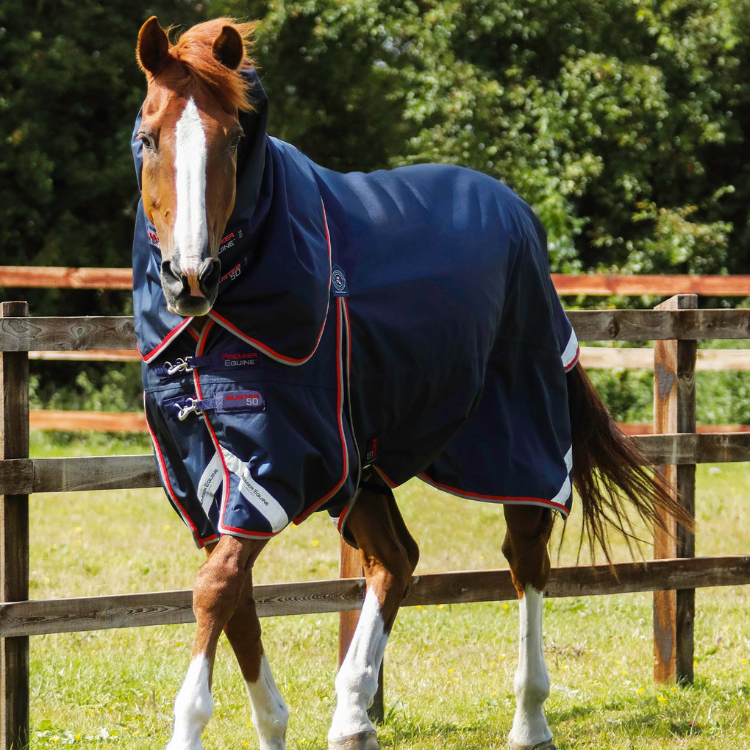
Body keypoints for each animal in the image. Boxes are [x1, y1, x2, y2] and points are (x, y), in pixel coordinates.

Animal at [131, 17, 691, 750]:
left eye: (233, 138)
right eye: (147, 137)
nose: (188, 277)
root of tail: (517, 212)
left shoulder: (280, 466)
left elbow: (217, 588)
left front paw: (199, 724)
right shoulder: (210, 478)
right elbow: (235, 595)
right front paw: (274, 723)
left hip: (515, 433)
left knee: (526, 558)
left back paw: (529, 717)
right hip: (367, 465)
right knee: (395, 561)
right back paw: (352, 715)